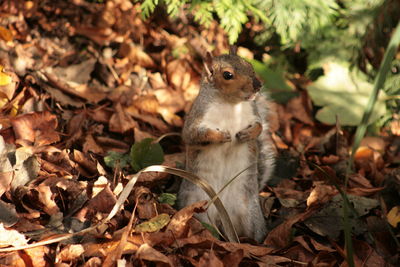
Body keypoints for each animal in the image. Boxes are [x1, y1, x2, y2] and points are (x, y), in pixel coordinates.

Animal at [178, 47, 276, 244]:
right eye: (227, 75)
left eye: (249, 65)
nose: (258, 85)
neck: (231, 105)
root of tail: (222, 218)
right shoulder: (197, 117)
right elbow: (192, 135)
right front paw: (221, 136)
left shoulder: (253, 114)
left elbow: (259, 127)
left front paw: (247, 134)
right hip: (197, 209)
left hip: (250, 215)